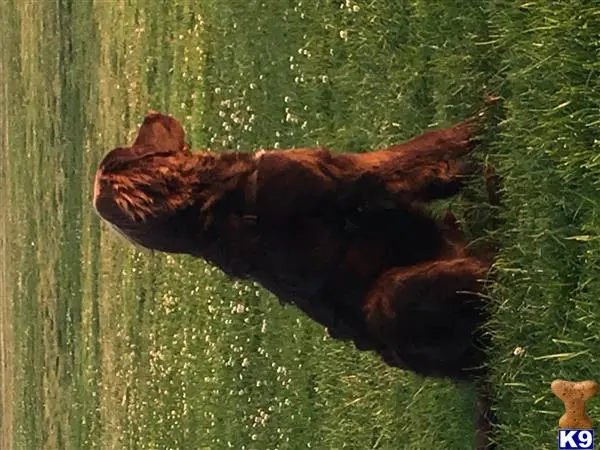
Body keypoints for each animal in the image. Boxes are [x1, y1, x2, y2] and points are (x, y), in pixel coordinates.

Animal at [94, 109, 496, 380]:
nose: (152, 114)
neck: (219, 206)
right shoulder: (355, 175)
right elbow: (435, 144)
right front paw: (489, 114)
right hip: (391, 296)